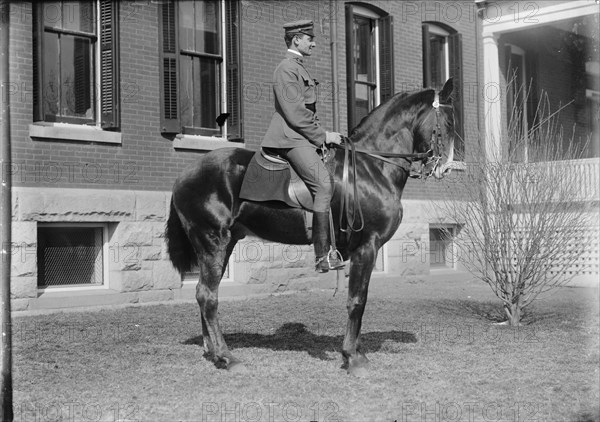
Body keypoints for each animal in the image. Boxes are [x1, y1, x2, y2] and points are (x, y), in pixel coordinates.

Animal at [164, 77, 454, 374]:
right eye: (447, 121)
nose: (446, 167)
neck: (371, 167)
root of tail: (186, 174)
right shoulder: (367, 247)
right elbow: (357, 301)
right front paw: (352, 357)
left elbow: (359, 299)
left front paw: (356, 352)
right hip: (212, 241)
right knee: (207, 296)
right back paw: (226, 356)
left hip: (224, 244)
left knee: (205, 293)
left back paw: (212, 352)